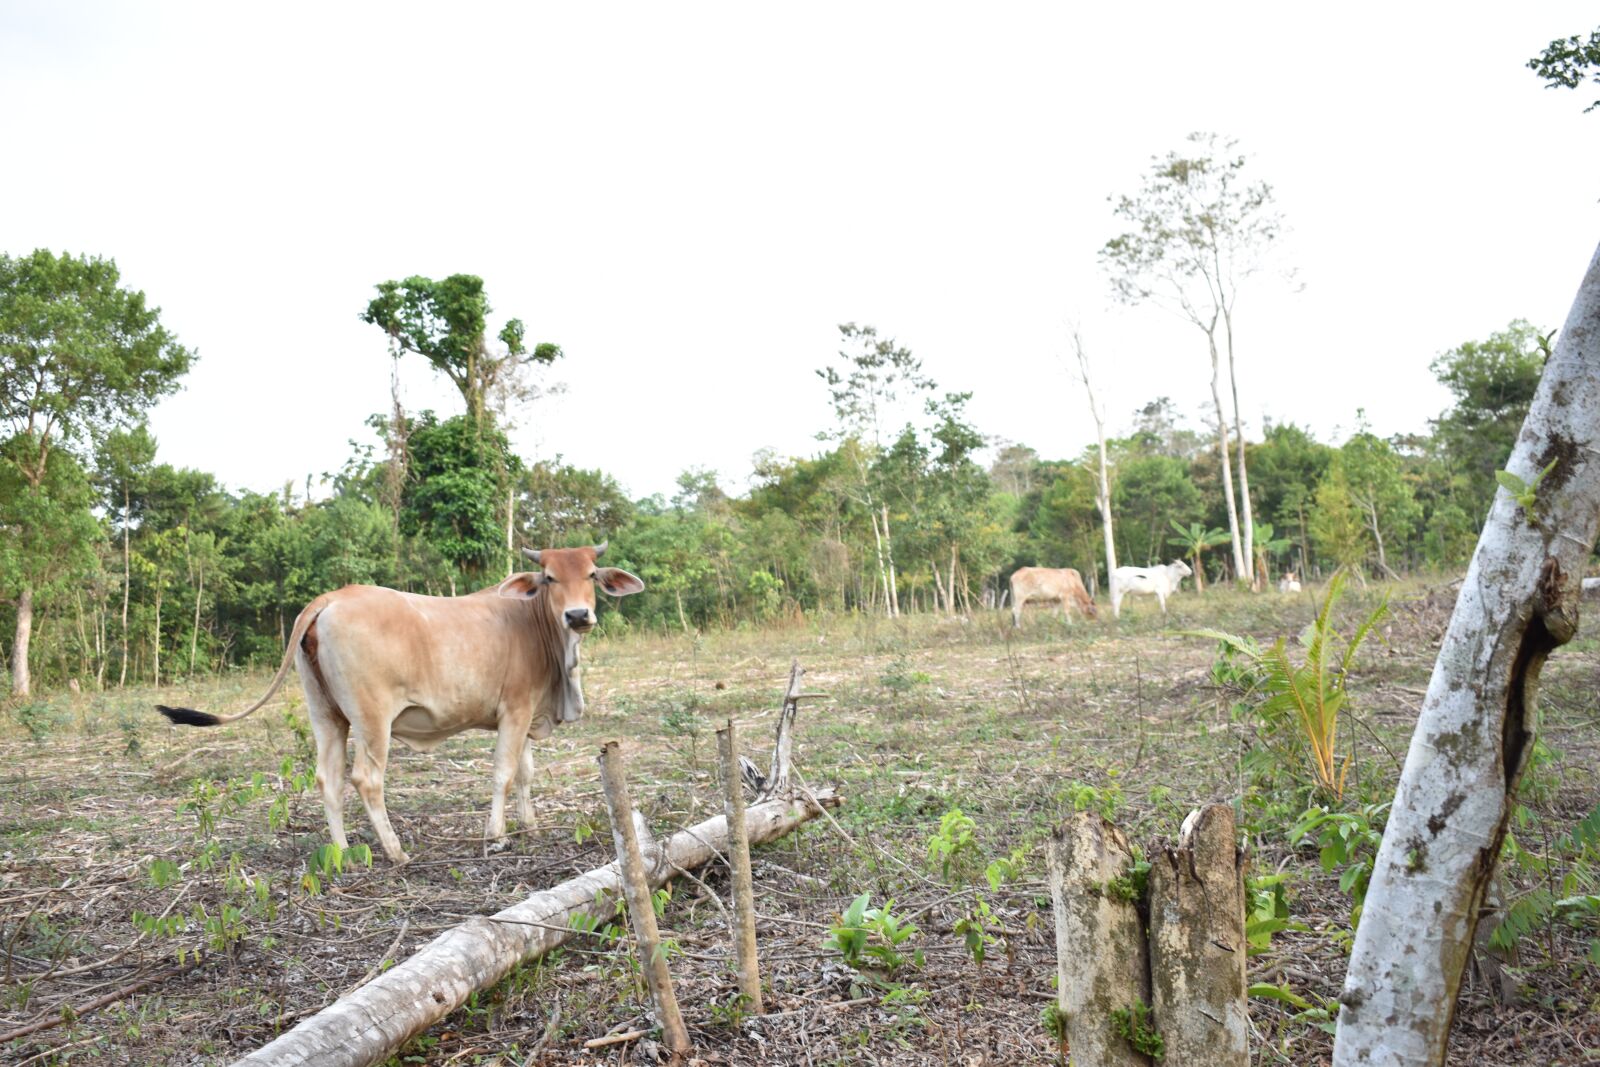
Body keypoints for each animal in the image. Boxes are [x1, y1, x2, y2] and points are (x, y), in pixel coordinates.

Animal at [156, 543, 643, 864]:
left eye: (591, 575)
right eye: (549, 578)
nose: (578, 616)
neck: (534, 624)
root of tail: (330, 598)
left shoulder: (527, 715)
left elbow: (524, 774)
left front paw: (532, 826)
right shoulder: (515, 711)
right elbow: (504, 775)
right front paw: (497, 836)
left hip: (326, 715)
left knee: (327, 779)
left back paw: (344, 852)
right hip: (373, 720)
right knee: (366, 779)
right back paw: (395, 851)